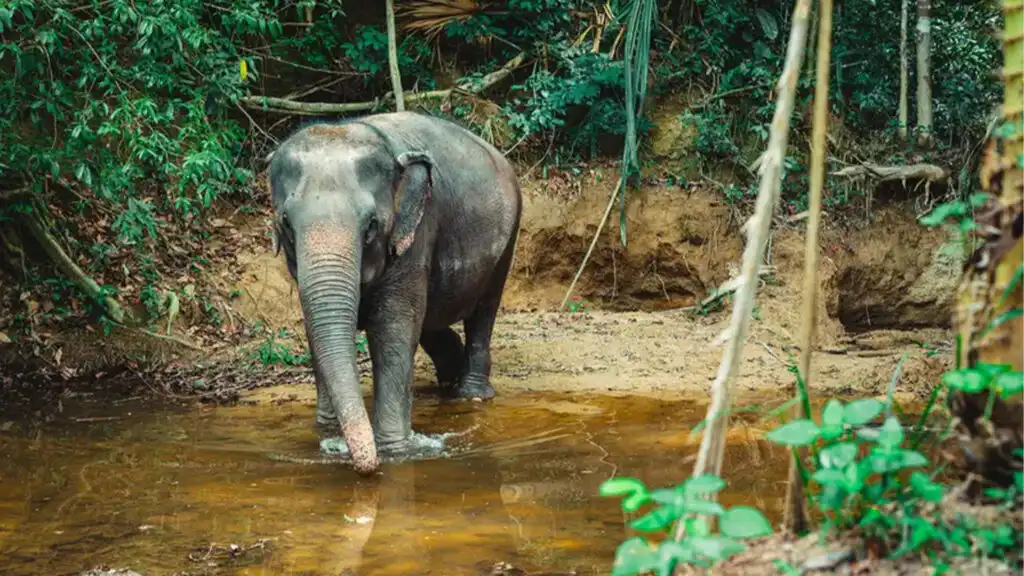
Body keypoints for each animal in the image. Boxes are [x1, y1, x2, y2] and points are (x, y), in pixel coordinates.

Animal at [269, 111, 522, 475]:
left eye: (372, 225)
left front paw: (393, 450)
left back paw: (471, 394)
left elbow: (394, 327)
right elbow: (315, 329)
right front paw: (328, 439)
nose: (365, 462)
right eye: (287, 224)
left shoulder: (416, 234)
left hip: (508, 239)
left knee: (484, 311)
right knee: (432, 320)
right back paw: (449, 378)